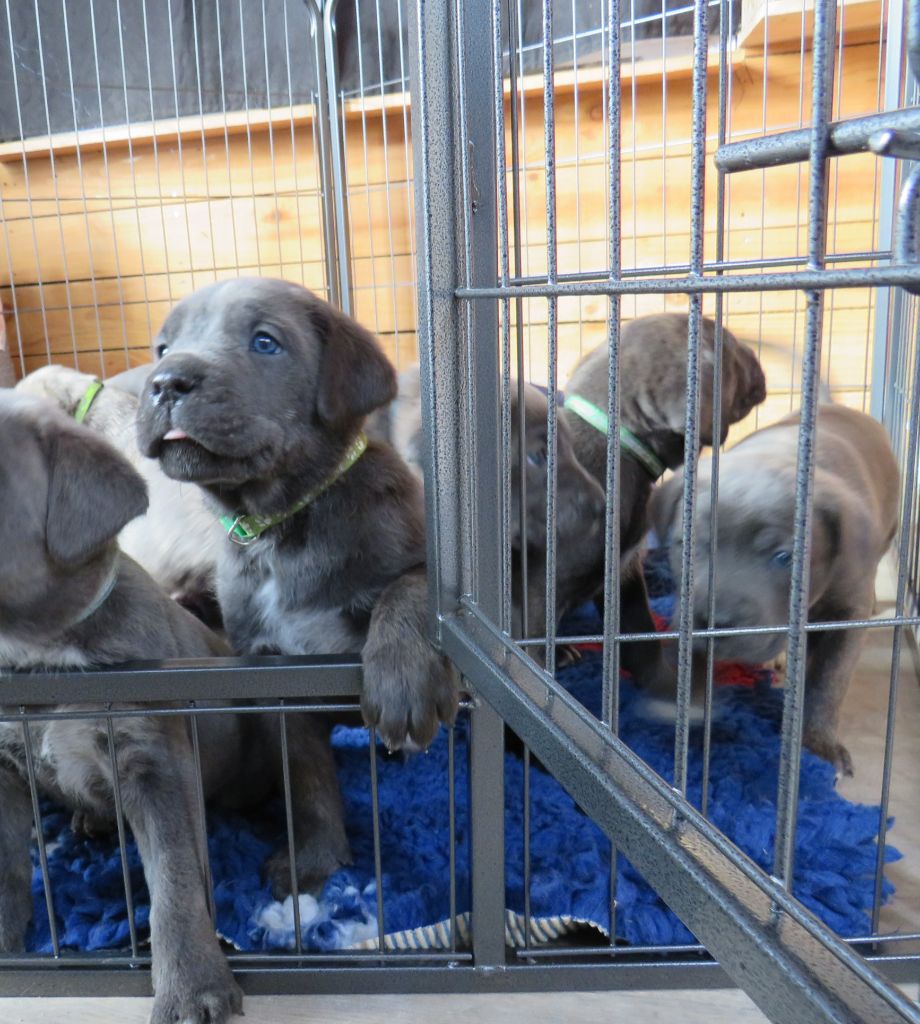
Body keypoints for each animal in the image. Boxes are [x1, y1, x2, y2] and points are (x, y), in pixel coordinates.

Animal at [647, 403, 897, 770]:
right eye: (686, 546)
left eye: (784, 558)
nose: (713, 623)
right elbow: (688, 658)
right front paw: (682, 705)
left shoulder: (849, 609)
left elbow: (828, 679)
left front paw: (817, 744)